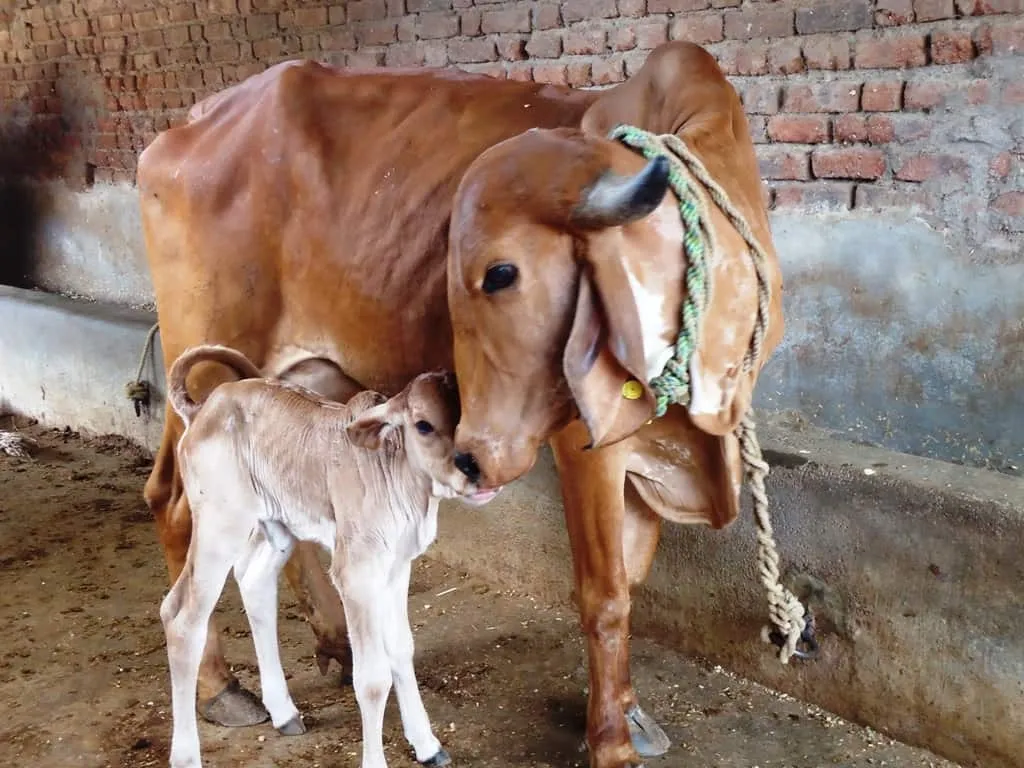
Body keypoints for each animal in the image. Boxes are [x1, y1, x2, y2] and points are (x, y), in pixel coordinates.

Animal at [161, 344, 478, 768]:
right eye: (424, 425)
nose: (471, 471)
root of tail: (203, 408)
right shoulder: (355, 572)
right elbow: (372, 678)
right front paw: (377, 761)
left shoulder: (397, 565)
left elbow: (402, 649)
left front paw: (428, 745)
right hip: (219, 525)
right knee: (181, 616)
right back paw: (187, 754)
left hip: (276, 526)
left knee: (254, 583)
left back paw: (284, 713)